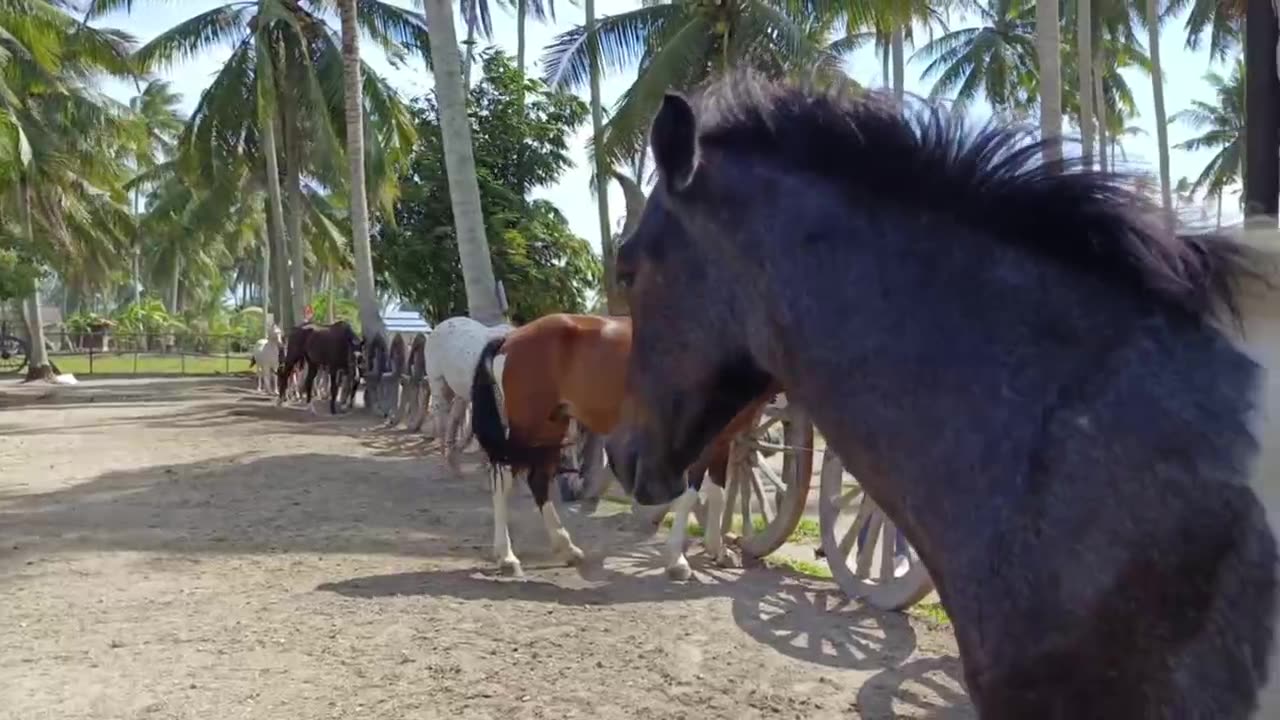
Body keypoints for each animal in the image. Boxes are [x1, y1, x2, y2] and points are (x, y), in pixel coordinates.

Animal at [423, 316, 513, 470]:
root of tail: (440, 325)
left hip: (460, 391)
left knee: (454, 417)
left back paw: (454, 454)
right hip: (437, 381)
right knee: (441, 415)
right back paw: (446, 457)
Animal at [470, 312, 773, 579]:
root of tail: (510, 338)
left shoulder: (724, 438)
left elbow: (719, 493)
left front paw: (718, 551)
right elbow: (689, 495)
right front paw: (677, 561)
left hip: (551, 428)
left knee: (538, 481)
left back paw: (567, 548)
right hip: (529, 427)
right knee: (504, 480)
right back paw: (507, 557)